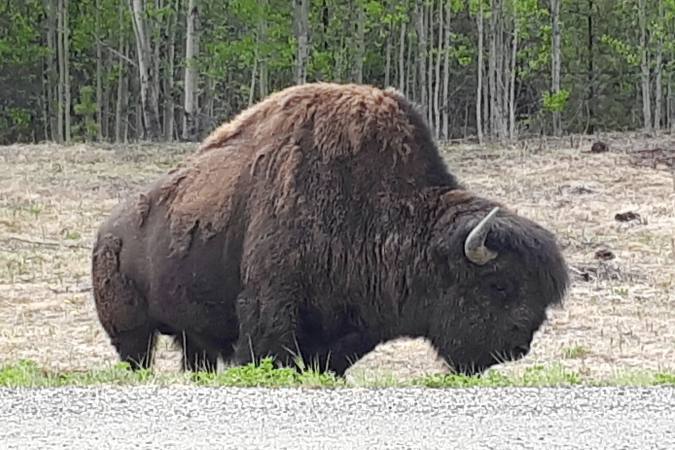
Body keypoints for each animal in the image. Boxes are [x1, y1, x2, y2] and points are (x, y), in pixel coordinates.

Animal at [92, 81, 572, 376]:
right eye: (499, 284)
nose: (518, 346)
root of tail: (106, 232)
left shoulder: (351, 329)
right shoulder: (270, 311)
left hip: (194, 338)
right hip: (131, 333)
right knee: (138, 357)